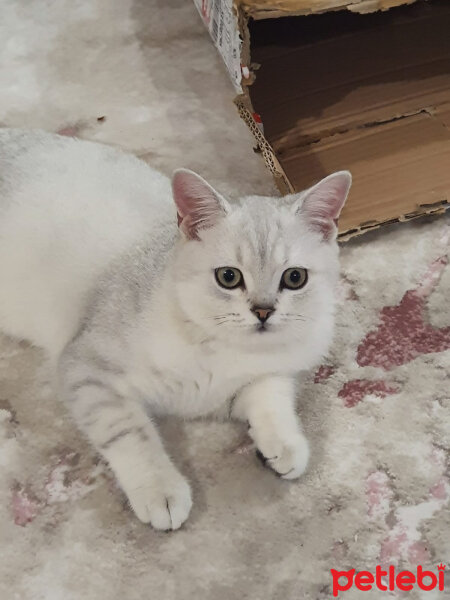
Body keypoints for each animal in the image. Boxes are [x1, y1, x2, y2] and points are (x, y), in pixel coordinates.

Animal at [0, 127, 352, 528]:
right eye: (228, 277)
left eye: (294, 278)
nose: (263, 311)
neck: (220, 344)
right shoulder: (86, 369)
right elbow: (130, 432)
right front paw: (160, 490)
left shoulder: (267, 373)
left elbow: (272, 398)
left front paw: (284, 446)